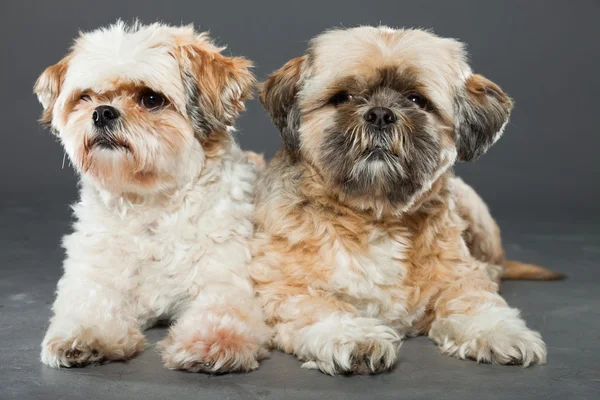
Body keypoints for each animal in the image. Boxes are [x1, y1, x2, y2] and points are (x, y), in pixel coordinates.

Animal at [36, 21, 270, 372]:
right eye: (86, 97)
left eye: (150, 99)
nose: (102, 112)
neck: (151, 206)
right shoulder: (94, 275)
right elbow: (91, 303)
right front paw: (86, 335)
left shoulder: (225, 279)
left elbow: (221, 310)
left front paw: (214, 343)